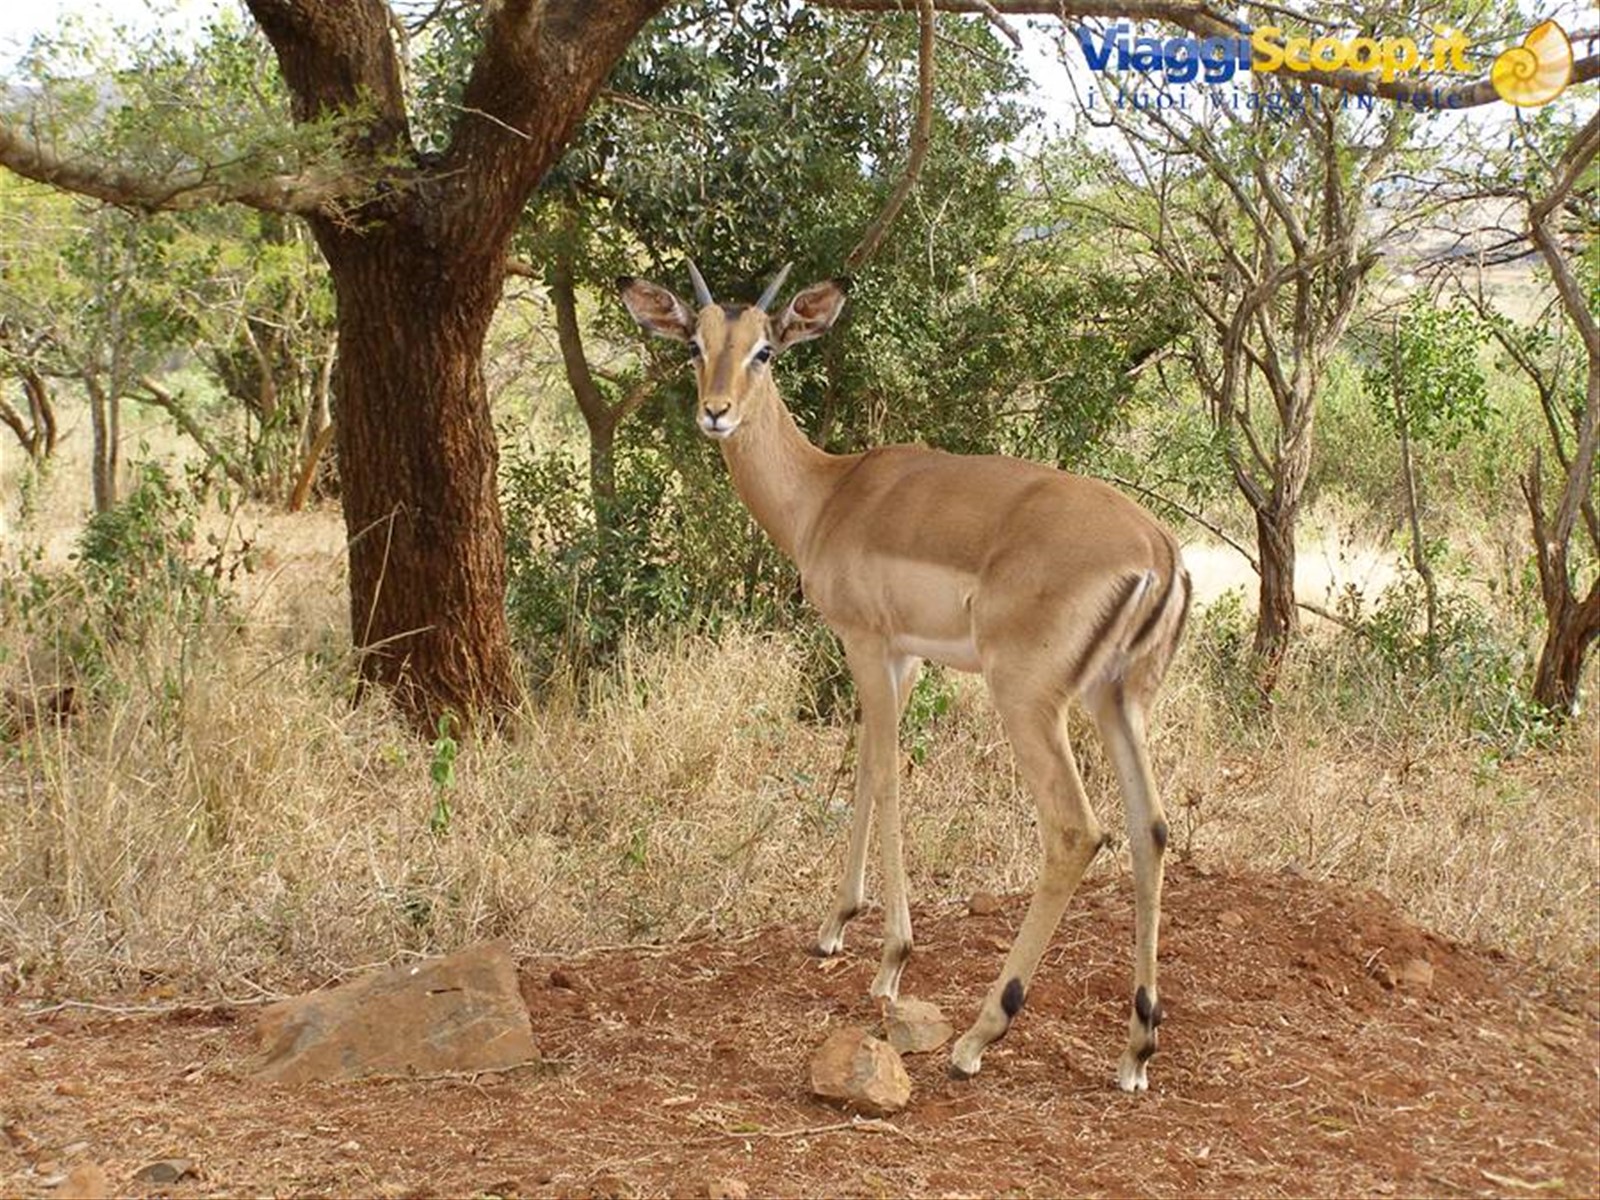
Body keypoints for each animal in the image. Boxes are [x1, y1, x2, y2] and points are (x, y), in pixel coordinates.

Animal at [620, 263, 1190, 1092]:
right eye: (697, 342)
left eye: (766, 349)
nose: (716, 414)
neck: (828, 494)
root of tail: (1158, 550)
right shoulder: (904, 657)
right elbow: (864, 768)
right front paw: (832, 929)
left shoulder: (866, 643)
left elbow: (886, 775)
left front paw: (890, 961)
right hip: (1119, 699)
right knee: (1152, 827)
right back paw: (1136, 1048)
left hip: (1029, 700)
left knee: (1076, 830)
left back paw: (978, 1036)